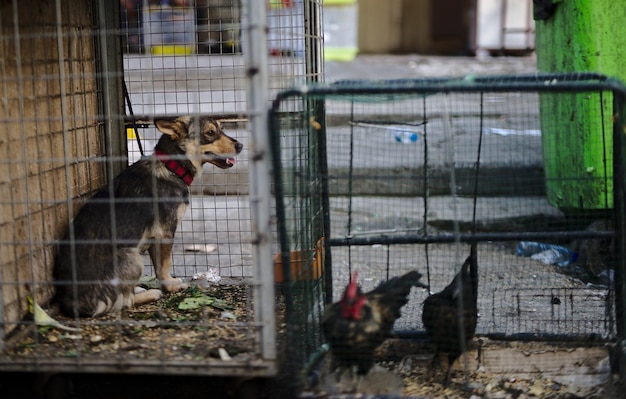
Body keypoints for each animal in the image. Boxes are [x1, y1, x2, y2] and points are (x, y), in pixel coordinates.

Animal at [54, 116, 243, 318]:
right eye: (210, 132)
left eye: (221, 128)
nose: (240, 145)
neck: (171, 167)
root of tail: (72, 304)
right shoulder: (165, 232)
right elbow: (165, 265)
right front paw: (170, 286)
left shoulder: (154, 238)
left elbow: (159, 266)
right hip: (133, 257)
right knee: (124, 301)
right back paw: (150, 293)